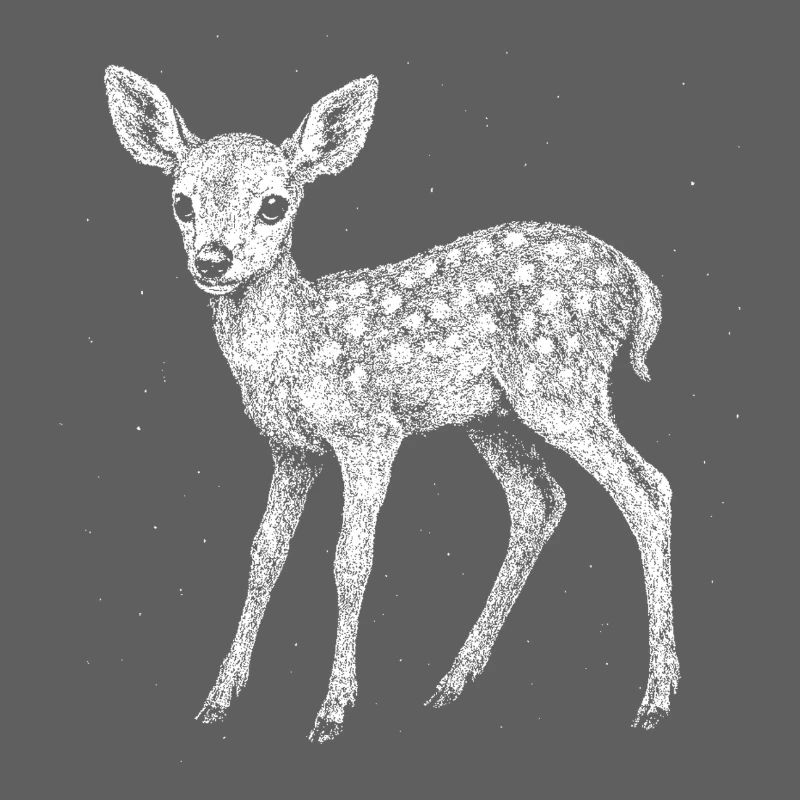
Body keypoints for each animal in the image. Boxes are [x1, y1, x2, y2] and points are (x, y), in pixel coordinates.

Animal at [104, 65, 680, 742]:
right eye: (181, 202)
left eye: (274, 204)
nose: (213, 260)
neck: (297, 344)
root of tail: (639, 283)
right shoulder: (291, 449)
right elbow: (265, 552)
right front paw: (219, 697)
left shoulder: (369, 433)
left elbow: (350, 559)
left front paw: (333, 708)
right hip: (494, 416)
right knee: (539, 501)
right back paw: (453, 681)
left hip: (561, 383)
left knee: (646, 487)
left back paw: (657, 698)